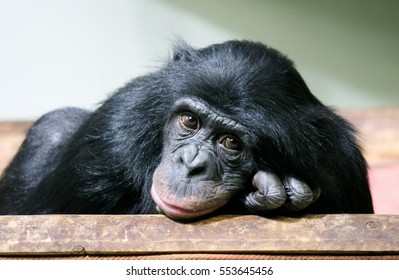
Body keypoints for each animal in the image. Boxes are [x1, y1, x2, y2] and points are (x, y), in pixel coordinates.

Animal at [0, 40, 376, 219]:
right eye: (190, 121)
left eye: (231, 142)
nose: (191, 163)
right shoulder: (109, 140)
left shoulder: (342, 165)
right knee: (55, 126)